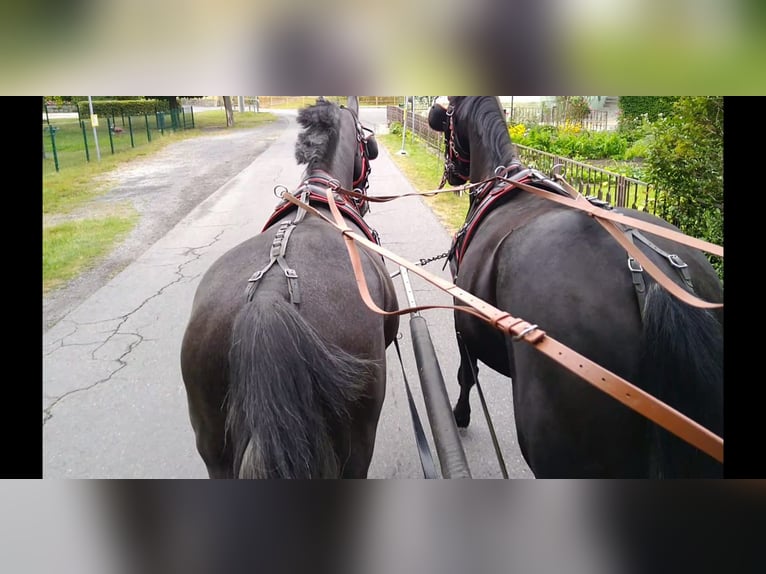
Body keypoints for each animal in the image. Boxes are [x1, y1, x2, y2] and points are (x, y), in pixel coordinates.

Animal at [432, 97, 728, 480]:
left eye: (444, 120)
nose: (452, 173)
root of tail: (649, 272)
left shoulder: (462, 321)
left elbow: (466, 374)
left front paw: (460, 414)